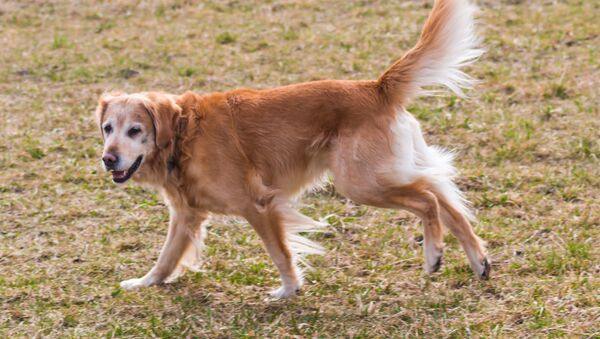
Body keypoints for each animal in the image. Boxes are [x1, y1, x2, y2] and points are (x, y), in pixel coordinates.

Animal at [95, 0, 488, 298]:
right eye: (107, 128)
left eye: (135, 130)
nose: (107, 159)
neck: (184, 134)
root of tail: (376, 87)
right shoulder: (185, 215)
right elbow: (165, 258)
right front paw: (144, 282)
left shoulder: (258, 204)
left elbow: (279, 252)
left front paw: (288, 290)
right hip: (383, 173)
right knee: (443, 195)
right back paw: (478, 260)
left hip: (360, 183)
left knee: (428, 199)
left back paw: (433, 254)